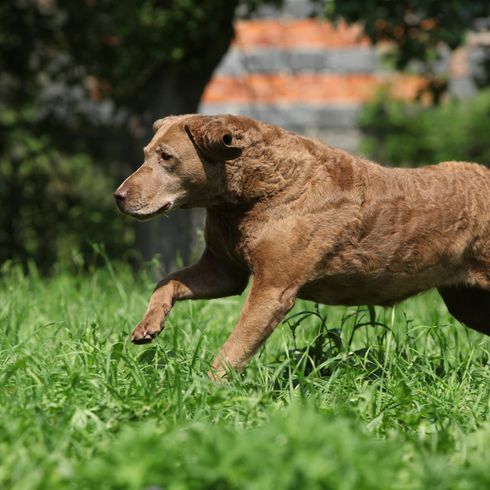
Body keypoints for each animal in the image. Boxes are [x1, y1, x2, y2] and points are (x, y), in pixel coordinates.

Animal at [116, 115, 490, 378]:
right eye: (146, 155)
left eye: (167, 157)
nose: (118, 196)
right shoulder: (223, 270)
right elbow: (167, 282)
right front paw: (148, 326)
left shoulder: (273, 288)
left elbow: (234, 347)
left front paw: (206, 390)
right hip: (466, 302)